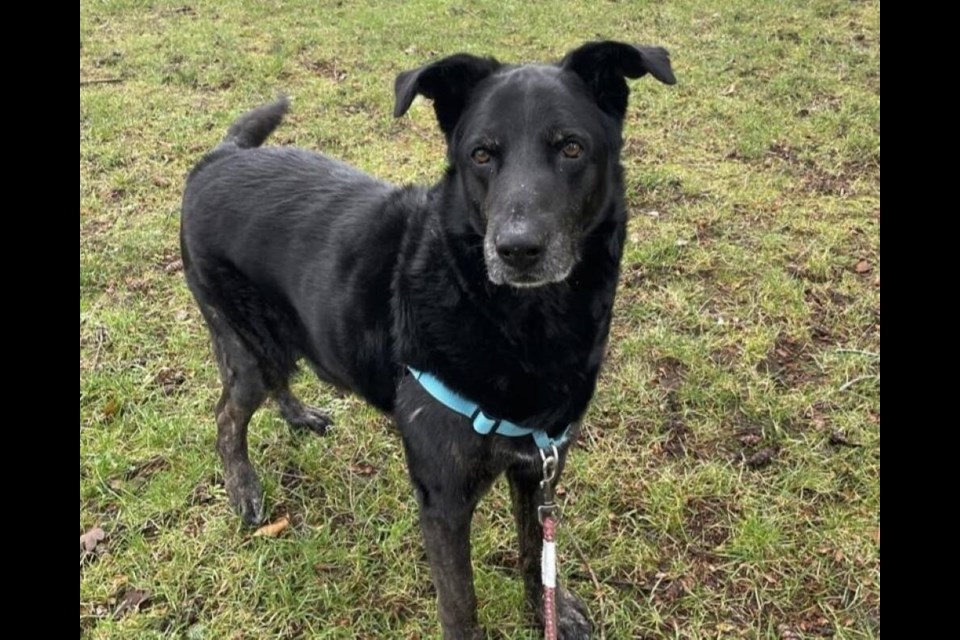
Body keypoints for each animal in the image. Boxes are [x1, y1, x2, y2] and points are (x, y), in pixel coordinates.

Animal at [180, 42, 676, 636]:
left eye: (572, 148)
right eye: (481, 155)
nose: (517, 250)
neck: (518, 323)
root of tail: (220, 158)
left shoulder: (539, 468)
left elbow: (536, 554)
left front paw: (550, 611)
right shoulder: (444, 500)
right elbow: (460, 604)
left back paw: (300, 416)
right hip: (252, 346)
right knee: (227, 415)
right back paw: (245, 492)